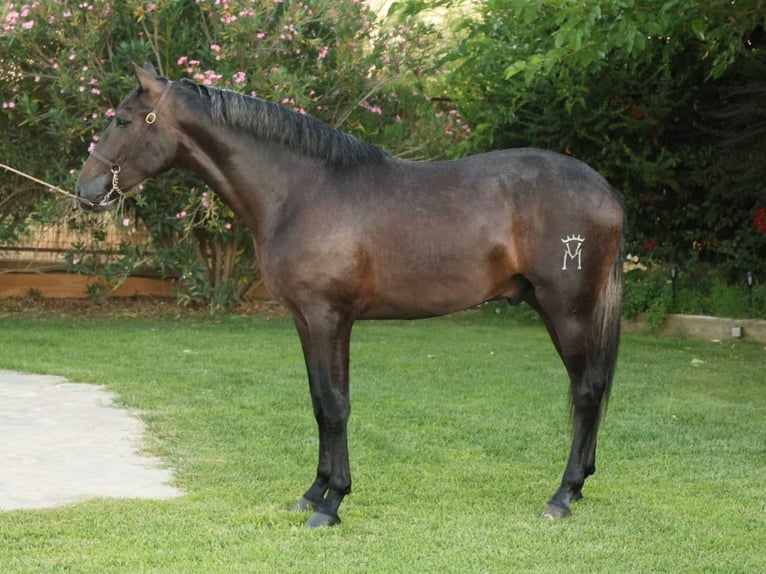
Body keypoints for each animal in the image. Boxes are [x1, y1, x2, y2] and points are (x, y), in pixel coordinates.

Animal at [76, 64, 624, 532]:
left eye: (123, 120)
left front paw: (332, 503)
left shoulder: (330, 317)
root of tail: (606, 192)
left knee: (587, 390)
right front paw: (312, 493)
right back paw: (576, 489)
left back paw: (561, 496)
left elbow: (337, 405)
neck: (303, 192)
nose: (87, 189)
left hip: (567, 311)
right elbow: (320, 402)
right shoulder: (304, 320)